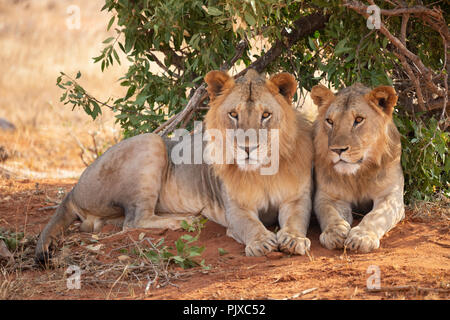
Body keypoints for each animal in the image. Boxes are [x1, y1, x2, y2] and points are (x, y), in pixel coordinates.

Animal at [35, 70, 312, 262]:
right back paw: (186, 221)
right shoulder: (236, 209)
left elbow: (296, 219)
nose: (247, 148)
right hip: (151, 143)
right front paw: (262, 242)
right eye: (234, 114)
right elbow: (250, 225)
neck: (262, 171)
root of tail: (72, 190)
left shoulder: (297, 198)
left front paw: (294, 239)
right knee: (135, 220)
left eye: (266, 115)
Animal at [310, 82, 404, 252]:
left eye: (358, 119)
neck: (357, 175)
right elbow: (329, 212)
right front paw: (334, 233)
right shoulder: (328, 196)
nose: (337, 150)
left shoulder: (391, 195)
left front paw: (362, 237)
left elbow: (376, 216)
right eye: (330, 121)